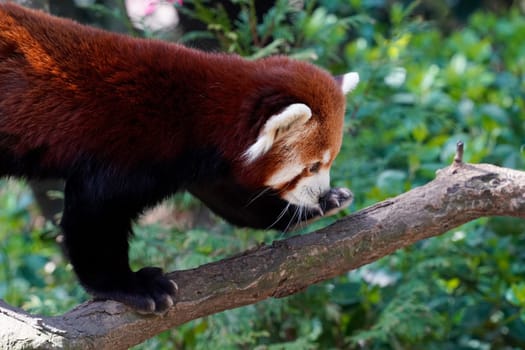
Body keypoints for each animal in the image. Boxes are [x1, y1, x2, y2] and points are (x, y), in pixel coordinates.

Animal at [0, 2, 358, 314]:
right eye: (312, 166)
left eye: (329, 163)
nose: (321, 193)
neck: (196, 111)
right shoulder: (128, 150)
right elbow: (92, 215)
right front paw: (127, 285)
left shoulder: (205, 167)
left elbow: (236, 204)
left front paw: (320, 205)